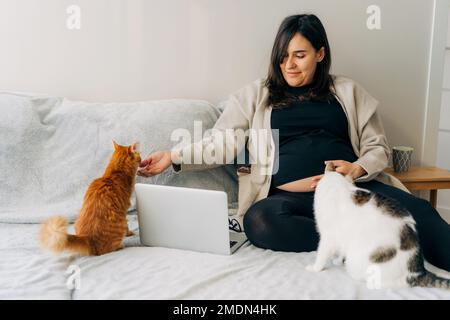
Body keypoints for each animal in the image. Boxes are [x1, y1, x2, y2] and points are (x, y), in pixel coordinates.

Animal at [306, 164, 450, 288]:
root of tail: (416, 272)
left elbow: (321, 254)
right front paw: (337, 261)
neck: (338, 185)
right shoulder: (342, 236)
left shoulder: (328, 237)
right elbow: (341, 251)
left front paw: (315, 268)